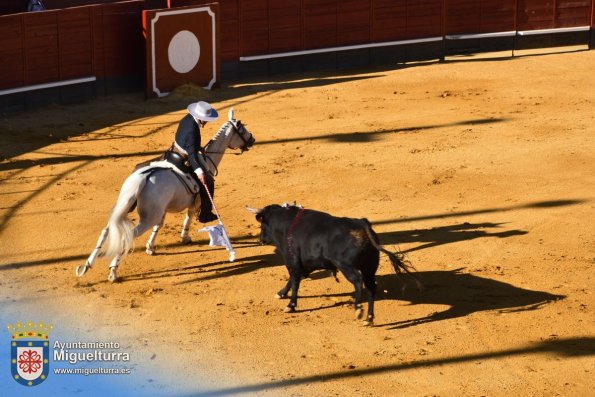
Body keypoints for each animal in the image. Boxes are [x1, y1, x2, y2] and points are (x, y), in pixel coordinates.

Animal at [75, 108, 255, 282]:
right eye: (242, 129)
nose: (252, 140)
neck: (206, 159)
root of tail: (142, 178)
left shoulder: (162, 209)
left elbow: (159, 226)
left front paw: (150, 247)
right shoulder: (195, 202)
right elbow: (188, 218)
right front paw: (184, 237)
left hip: (125, 206)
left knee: (106, 231)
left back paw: (86, 266)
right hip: (147, 217)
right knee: (128, 236)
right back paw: (113, 272)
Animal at [253, 204, 424, 324]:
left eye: (262, 225)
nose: (261, 240)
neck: (286, 225)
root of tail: (361, 224)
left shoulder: (292, 260)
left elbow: (294, 281)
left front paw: (291, 305)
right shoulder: (306, 264)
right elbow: (295, 279)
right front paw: (281, 294)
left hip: (346, 266)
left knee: (358, 282)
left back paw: (358, 310)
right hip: (369, 267)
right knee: (371, 286)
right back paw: (368, 318)